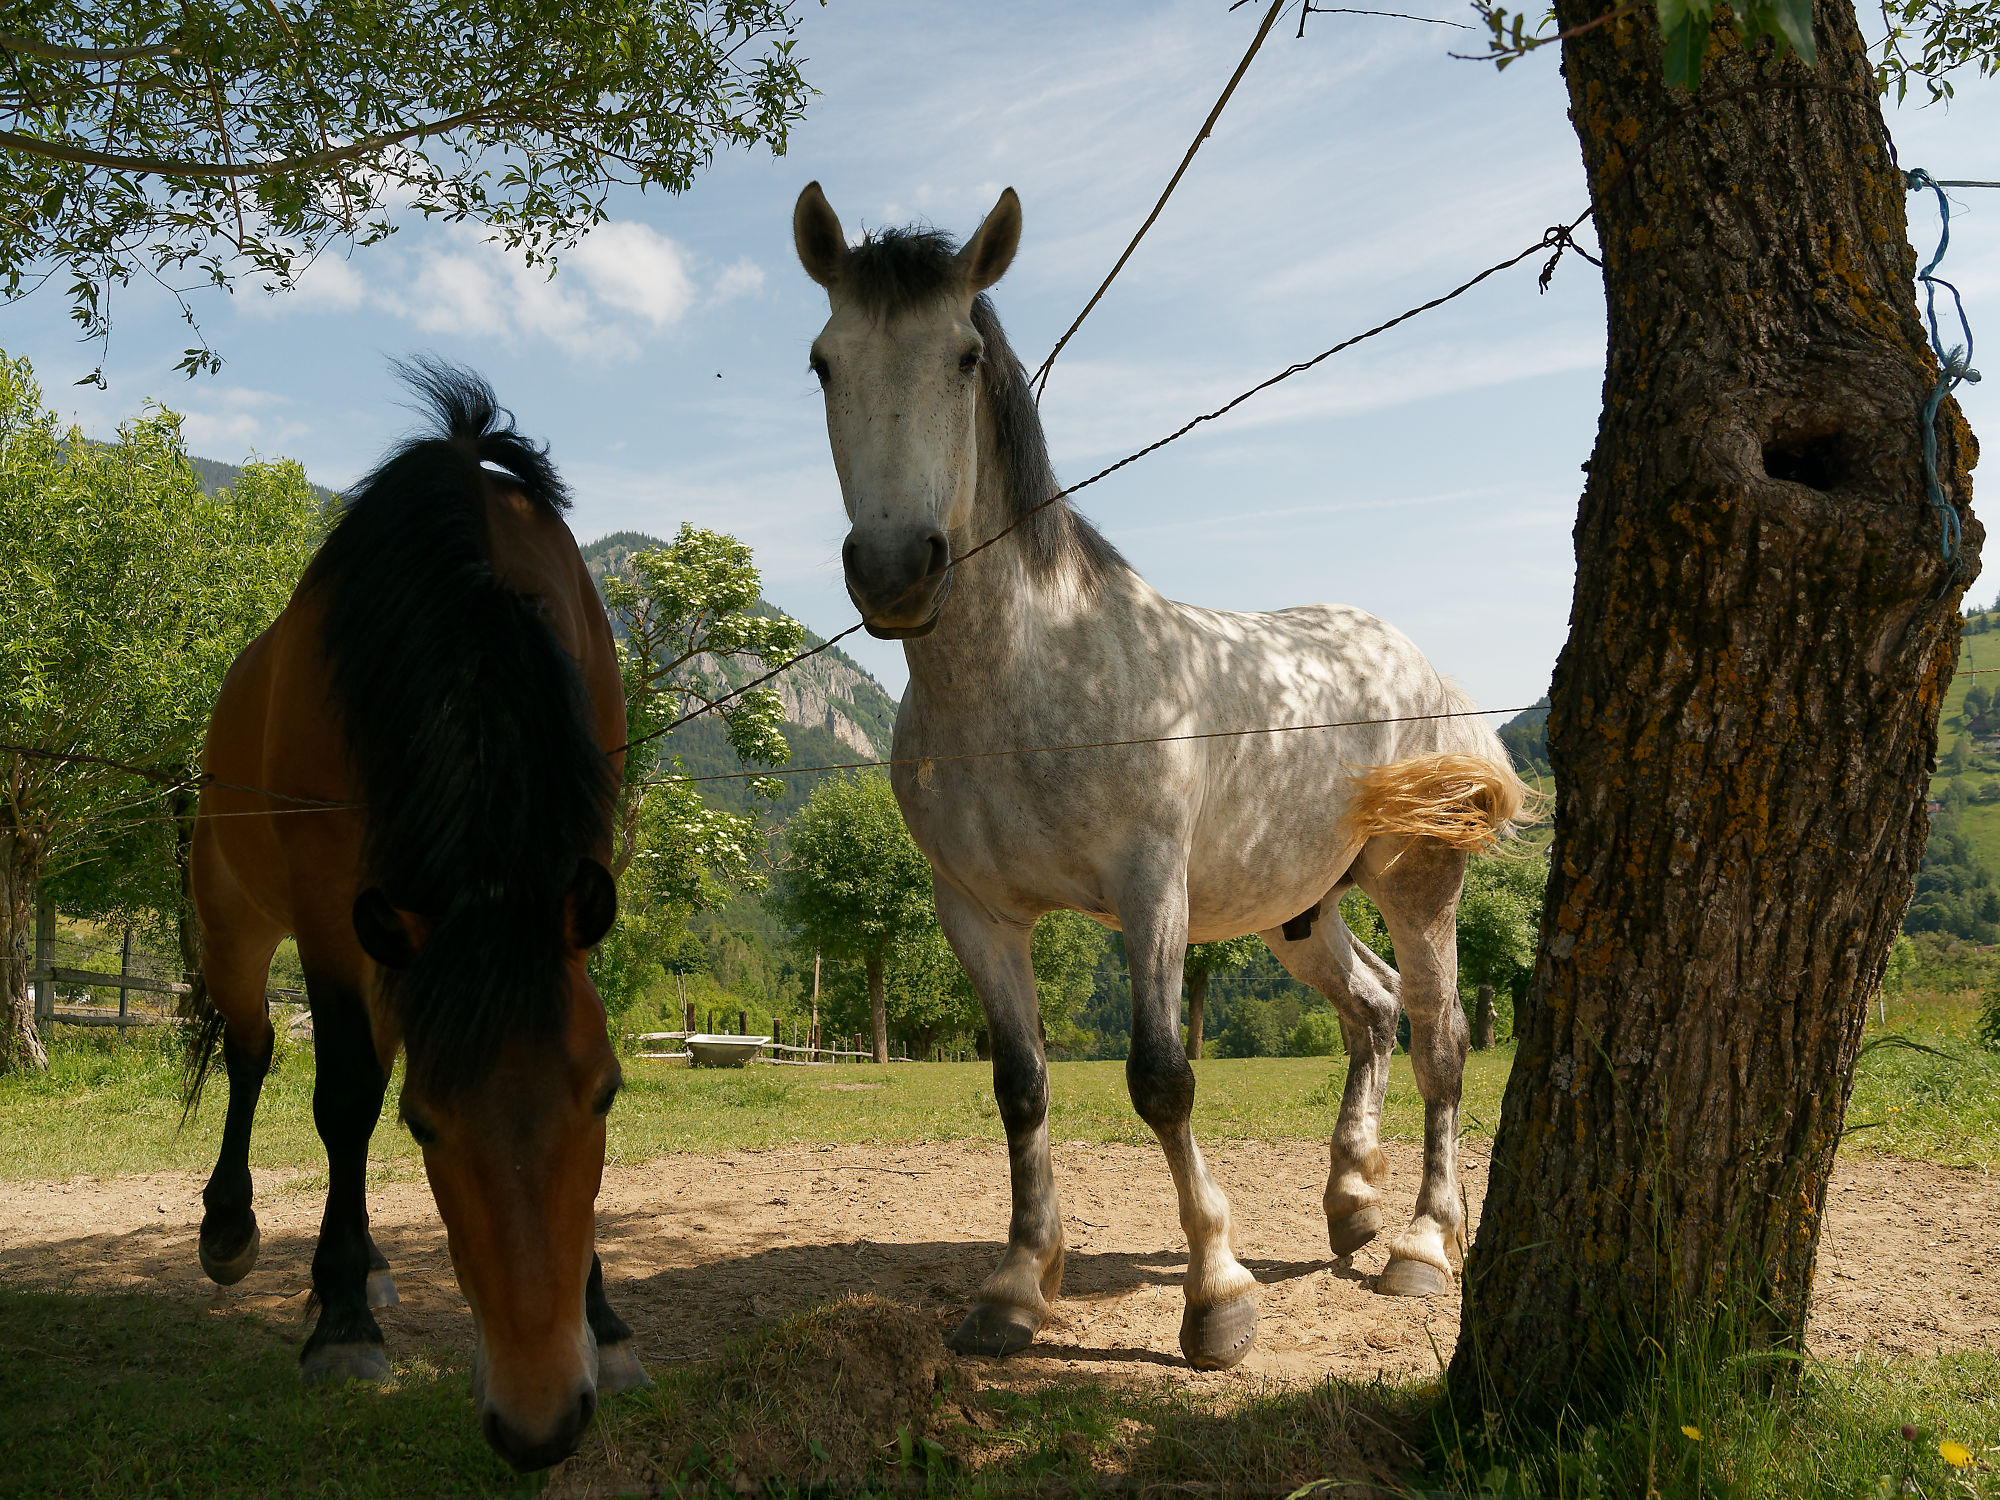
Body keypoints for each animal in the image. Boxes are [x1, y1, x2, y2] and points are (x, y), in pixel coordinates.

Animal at [181, 363, 644, 1470]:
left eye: (606, 1097)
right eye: (425, 1125)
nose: (539, 1421)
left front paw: (605, 1319)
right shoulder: (326, 912)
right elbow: (347, 1100)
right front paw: (343, 1326)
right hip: (236, 923)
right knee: (253, 1053)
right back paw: (240, 1233)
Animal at [792, 183, 1530, 1370]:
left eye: (962, 355)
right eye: (823, 360)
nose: (897, 570)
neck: (1023, 680)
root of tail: (1428, 673)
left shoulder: (1149, 893)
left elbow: (1161, 1079)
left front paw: (1216, 1298)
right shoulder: (975, 911)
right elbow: (1020, 1088)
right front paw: (1015, 1287)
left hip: (1417, 886)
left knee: (1440, 1038)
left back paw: (1421, 1242)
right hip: (1298, 911)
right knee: (1372, 1014)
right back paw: (1351, 1204)